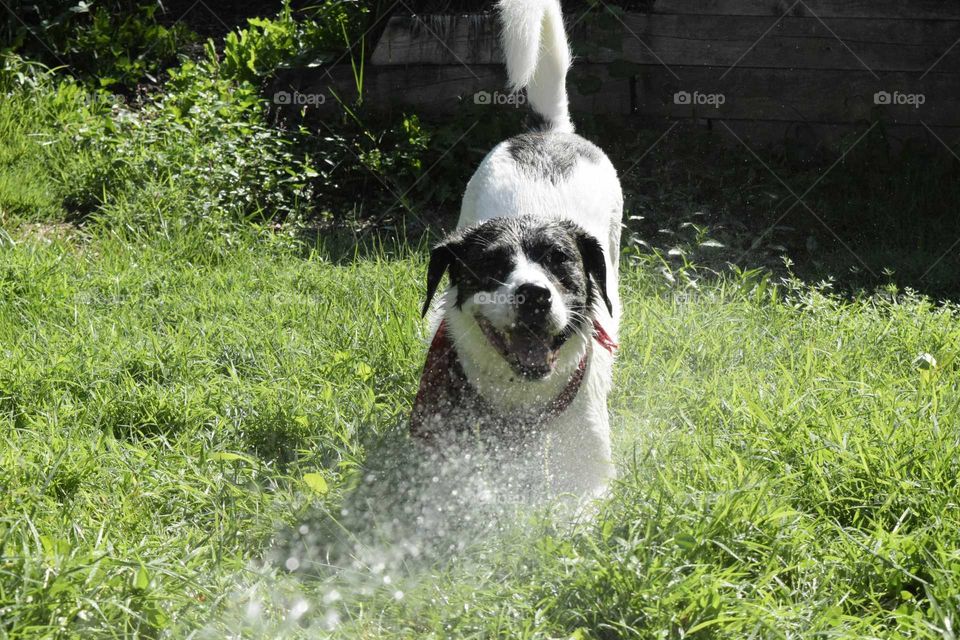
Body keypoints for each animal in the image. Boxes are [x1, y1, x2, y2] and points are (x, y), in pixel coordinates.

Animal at [406, 0, 624, 500]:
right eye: (490, 264)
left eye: (560, 261)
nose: (534, 295)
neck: (522, 398)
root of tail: (550, 131)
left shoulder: (590, 473)